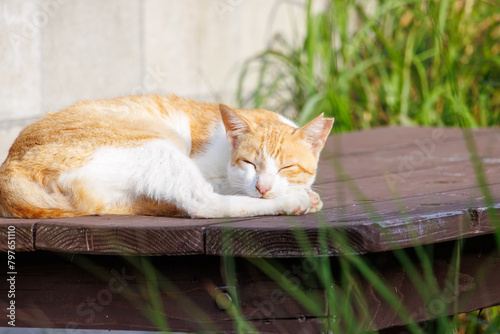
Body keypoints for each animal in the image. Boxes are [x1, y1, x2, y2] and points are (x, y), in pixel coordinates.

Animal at [0, 94, 336, 219]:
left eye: (287, 166)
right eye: (250, 163)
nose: (263, 187)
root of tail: (9, 167)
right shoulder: (211, 172)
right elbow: (229, 191)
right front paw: (298, 196)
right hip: (157, 148)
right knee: (203, 204)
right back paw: (292, 202)